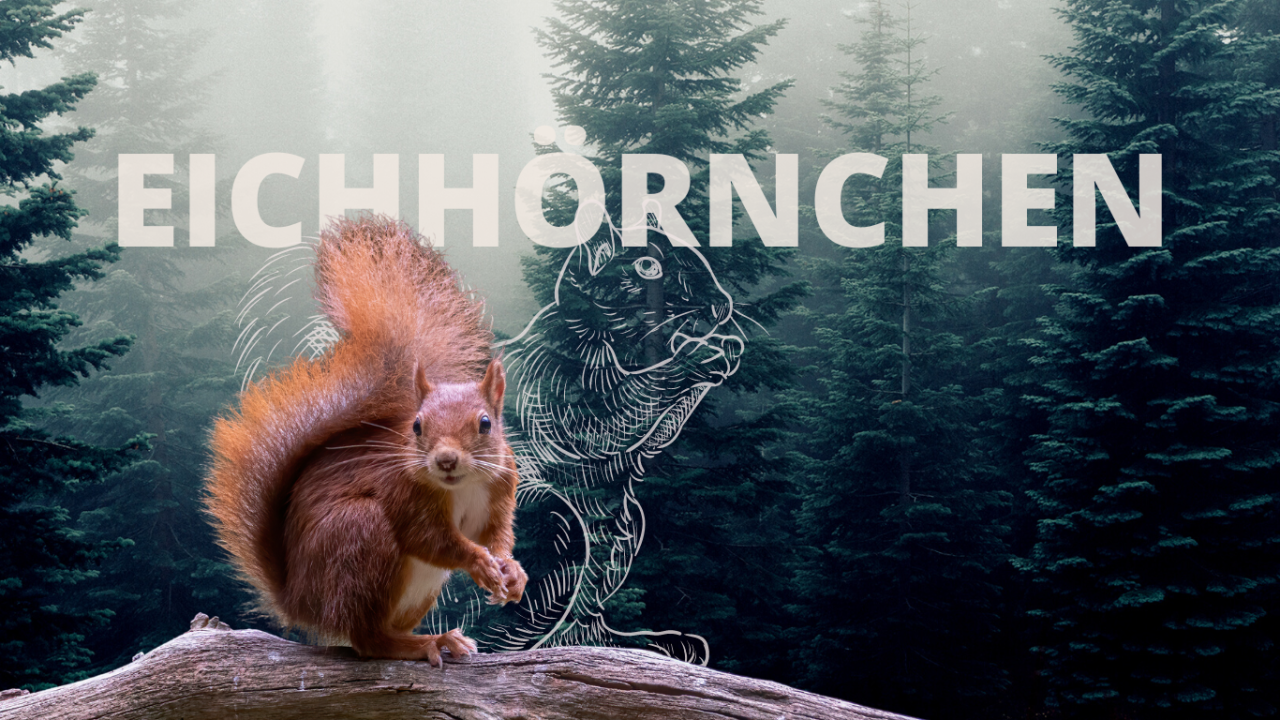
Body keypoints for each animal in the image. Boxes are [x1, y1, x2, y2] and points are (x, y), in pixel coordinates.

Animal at [204, 215, 527, 665]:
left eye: (485, 424)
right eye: (416, 427)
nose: (446, 460)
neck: (459, 487)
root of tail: (298, 600)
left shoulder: (499, 488)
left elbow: (495, 532)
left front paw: (512, 572)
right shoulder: (404, 495)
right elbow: (431, 539)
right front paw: (479, 562)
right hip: (359, 537)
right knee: (368, 640)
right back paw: (428, 643)